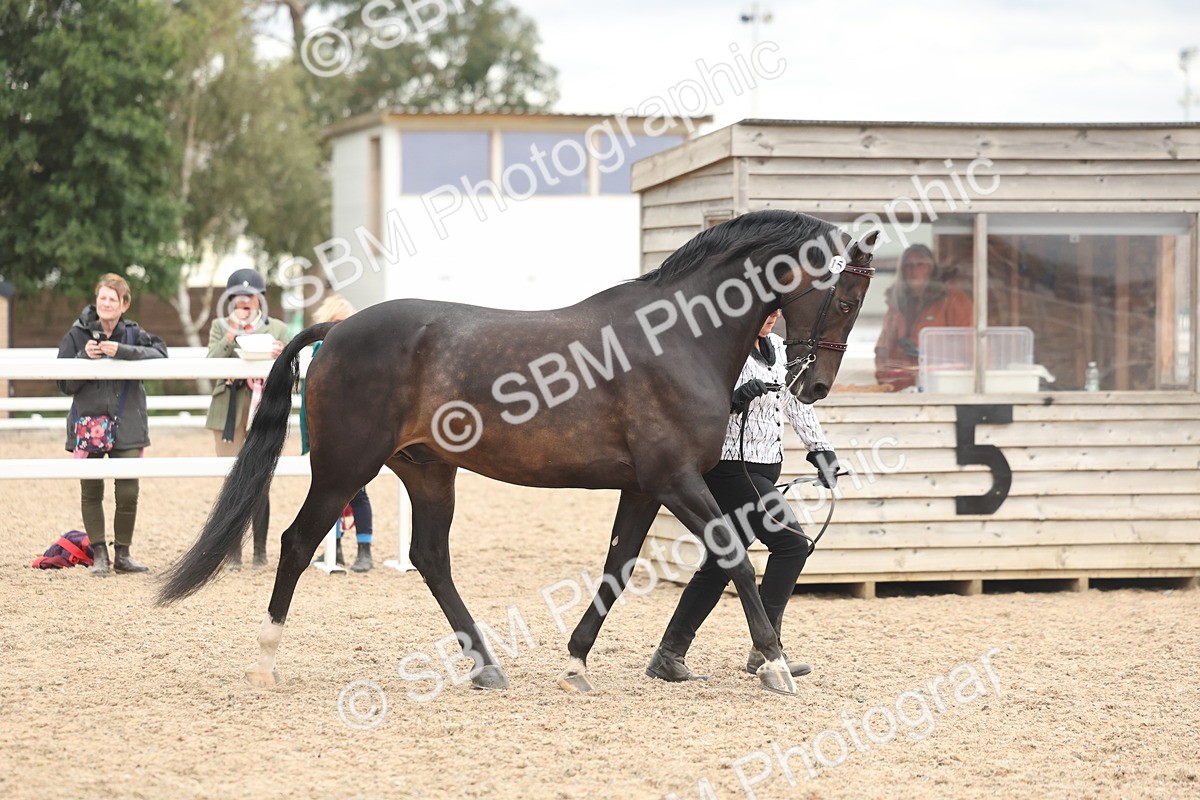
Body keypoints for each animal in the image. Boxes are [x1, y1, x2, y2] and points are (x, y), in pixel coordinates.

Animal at [157, 209, 876, 697]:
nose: (813, 385)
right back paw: (265, 659)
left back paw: (486, 665)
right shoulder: (675, 480)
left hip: (428, 472)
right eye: (845, 296)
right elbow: (735, 560)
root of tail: (335, 331)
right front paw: (776, 664)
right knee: (299, 542)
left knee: (430, 558)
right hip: (344, 469)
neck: (676, 338)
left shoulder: (645, 486)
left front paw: (576, 661)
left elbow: (617, 566)